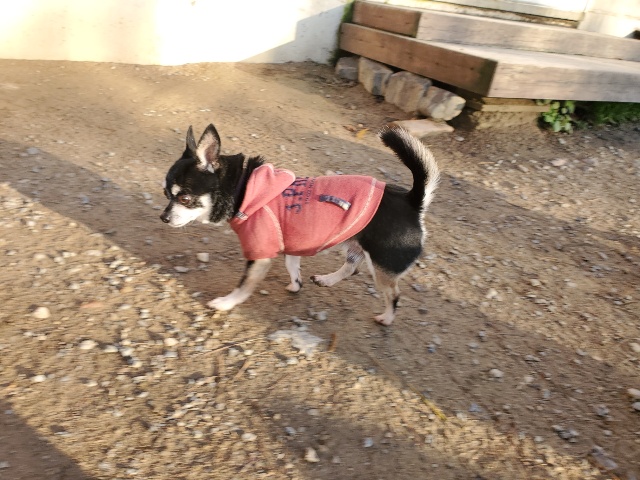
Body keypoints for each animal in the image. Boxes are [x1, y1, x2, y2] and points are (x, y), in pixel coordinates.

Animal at [160, 123, 439, 325]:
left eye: (184, 198)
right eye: (165, 194)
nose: (163, 218)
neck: (244, 188)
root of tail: (412, 202)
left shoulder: (260, 255)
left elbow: (244, 286)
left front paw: (226, 303)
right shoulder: (290, 246)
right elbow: (293, 267)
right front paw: (296, 285)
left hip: (383, 267)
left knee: (393, 294)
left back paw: (387, 318)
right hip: (355, 245)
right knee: (351, 268)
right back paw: (327, 279)